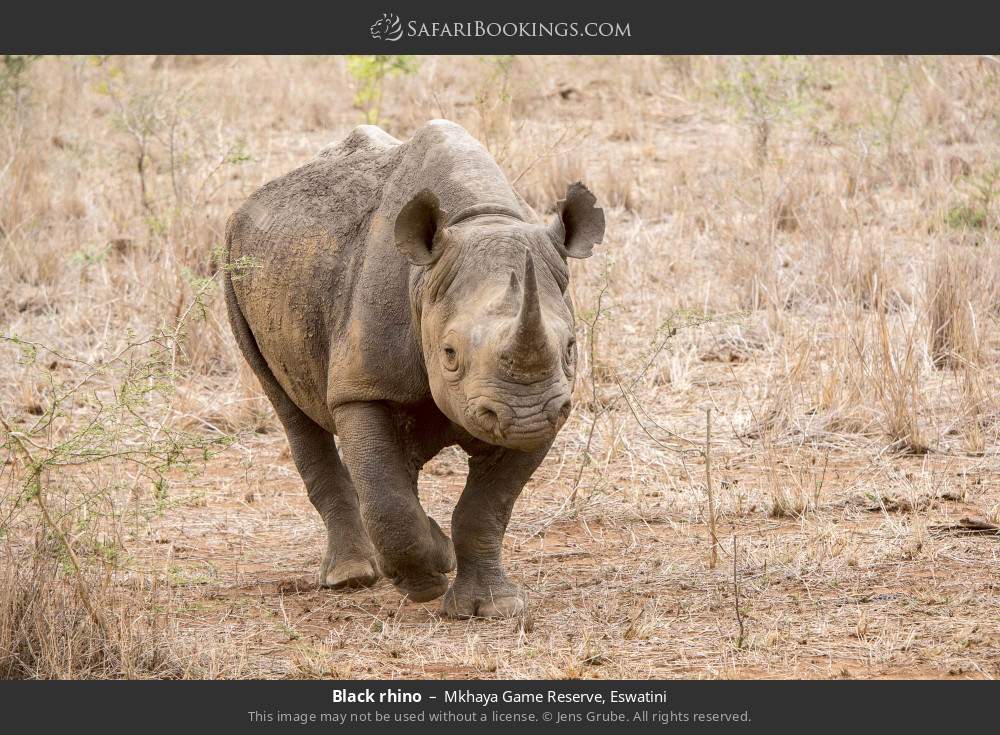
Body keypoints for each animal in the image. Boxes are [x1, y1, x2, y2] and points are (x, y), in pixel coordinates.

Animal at [224, 120, 604, 618]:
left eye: (572, 349)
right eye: (449, 354)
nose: (524, 418)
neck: (479, 220)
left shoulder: (552, 401)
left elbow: (486, 508)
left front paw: (492, 606)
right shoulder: (362, 387)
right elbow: (388, 500)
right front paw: (425, 580)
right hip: (234, 268)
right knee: (291, 411)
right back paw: (352, 577)